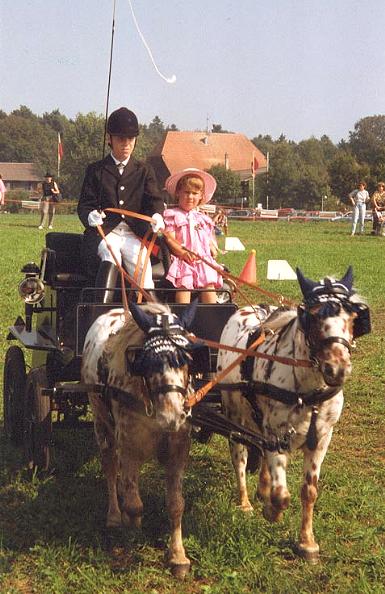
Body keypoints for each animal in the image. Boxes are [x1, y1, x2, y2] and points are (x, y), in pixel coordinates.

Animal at [82, 300, 198, 572]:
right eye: (149, 363)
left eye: (186, 360)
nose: (172, 416)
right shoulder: (129, 446)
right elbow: (134, 505)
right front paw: (129, 526)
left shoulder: (178, 449)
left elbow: (176, 504)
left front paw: (178, 555)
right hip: (102, 424)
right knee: (111, 467)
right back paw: (115, 514)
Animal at [216, 268, 368, 560]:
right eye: (314, 317)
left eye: (354, 318)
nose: (337, 369)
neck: (309, 392)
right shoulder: (278, 435)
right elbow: (281, 495)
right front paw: (271, 511)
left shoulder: (321, 438)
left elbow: (309, 491)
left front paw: (307, 542)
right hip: (234, 417)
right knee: (240, 456)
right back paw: (245, 502)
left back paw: (261, 488)